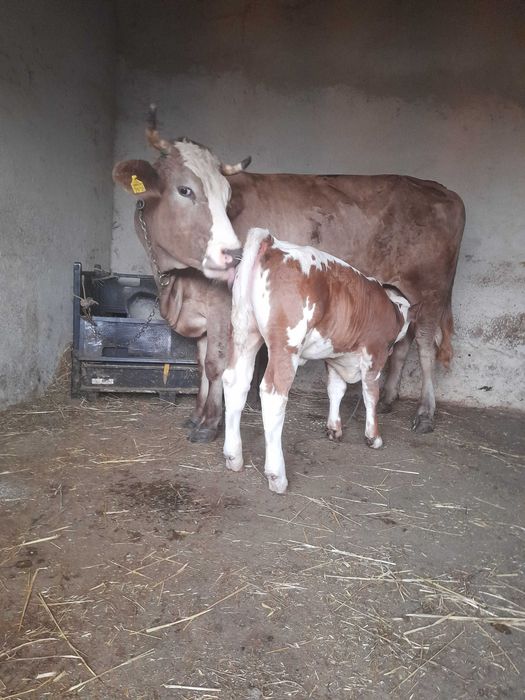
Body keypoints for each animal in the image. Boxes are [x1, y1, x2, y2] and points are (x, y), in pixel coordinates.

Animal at [113, 107, 465, 434]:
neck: (177, 284)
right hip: (401, 293)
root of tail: (443, 190)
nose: (234, 255)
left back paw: (425, 413)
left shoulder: (222, 308)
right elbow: (201, 364)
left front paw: (210, 424)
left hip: (430, 288)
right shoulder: (199, 308)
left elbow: (216, 365)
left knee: (425, 347)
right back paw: (390, 398)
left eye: (226, 198)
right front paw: (197, 416)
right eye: (185, 190)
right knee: (403, 343)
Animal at [223, 228, 417, 493]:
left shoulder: (334, 356)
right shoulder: (374, 355)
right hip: (286, 344)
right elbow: (371, 395)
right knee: (273, 395)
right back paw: (277, 476)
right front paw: (373, 436)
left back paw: (233, 457)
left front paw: (334, 428)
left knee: (234, 383)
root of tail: (271, 243)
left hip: (245, 334)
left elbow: (336, 390)